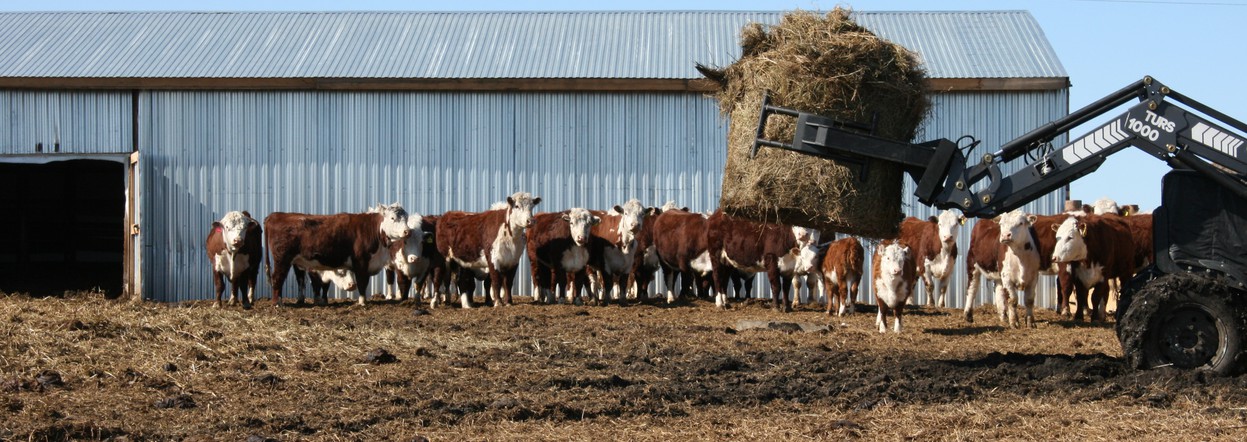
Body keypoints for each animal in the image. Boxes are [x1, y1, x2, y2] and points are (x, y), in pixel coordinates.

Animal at [264, 202, 414, 305]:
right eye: (393, 218)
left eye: (406, 218)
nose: (407, 231)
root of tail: (276, 215)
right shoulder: (361, 262)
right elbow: (362, 282)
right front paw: (362, 302)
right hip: (282, 259)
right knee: (277, 278)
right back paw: (277, 303)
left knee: (296, 279)